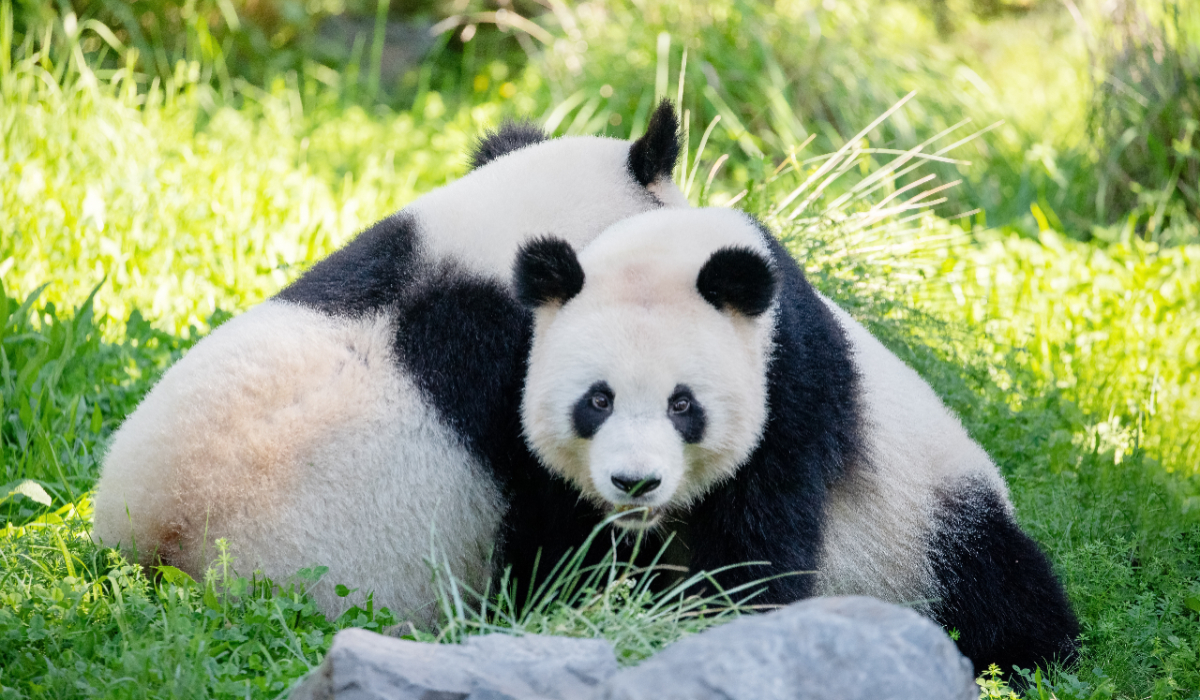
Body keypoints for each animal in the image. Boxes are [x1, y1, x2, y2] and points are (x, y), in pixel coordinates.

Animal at [509, 206, 1081, 675]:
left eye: (682, 405)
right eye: (598, 400)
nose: (635, 482)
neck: (675, 245)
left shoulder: (791, 392)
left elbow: (759, 543)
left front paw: (718, 629)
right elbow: (570, 542)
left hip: (929, 521)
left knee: (996, 584)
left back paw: (1023, 659)